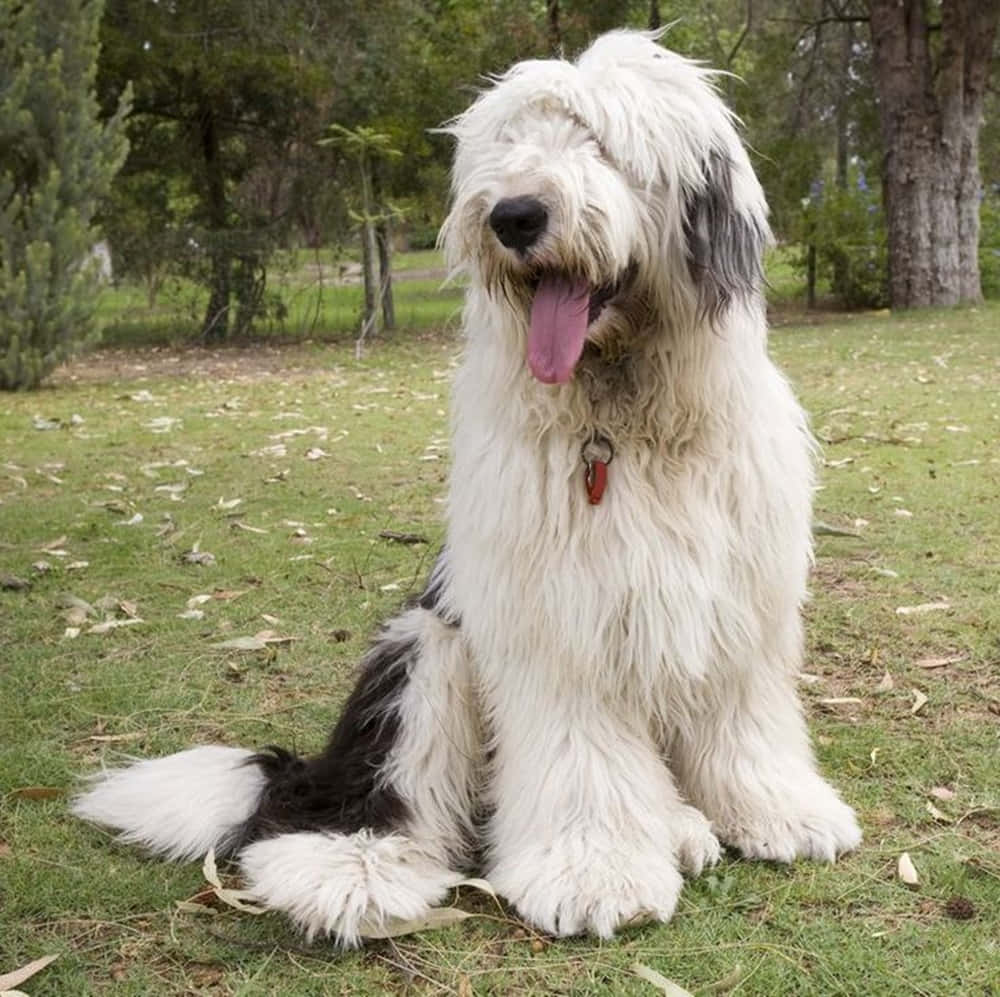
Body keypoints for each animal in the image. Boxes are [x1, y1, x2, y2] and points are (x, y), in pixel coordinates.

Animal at [74, 31, 864, 944]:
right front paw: (594, 871)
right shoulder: (556, 618)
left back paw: (680, 825)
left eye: (602, 142)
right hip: (426, 651)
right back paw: (353, 869)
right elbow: (581, 751)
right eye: (509, 143)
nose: (513, 216)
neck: (624, 420)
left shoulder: (738, 601)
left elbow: (744, 718)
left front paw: (778, 810)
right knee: (369, 797)